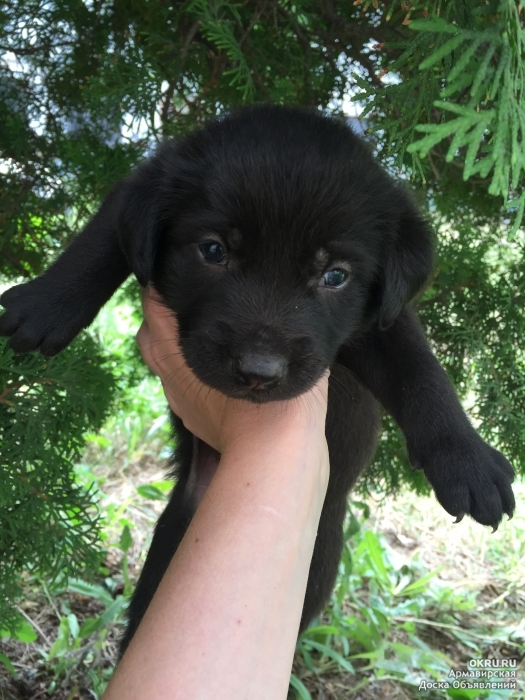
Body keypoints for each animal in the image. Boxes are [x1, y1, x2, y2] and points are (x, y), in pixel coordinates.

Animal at [0, 106, 512, 652]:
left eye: (335, 275)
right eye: (212, 250)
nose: (258, 372)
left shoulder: (381, 321)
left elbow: (419, 370)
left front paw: (467, 462)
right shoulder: (137, 188)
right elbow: (102, 239)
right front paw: (45, 302)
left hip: (318, 556)